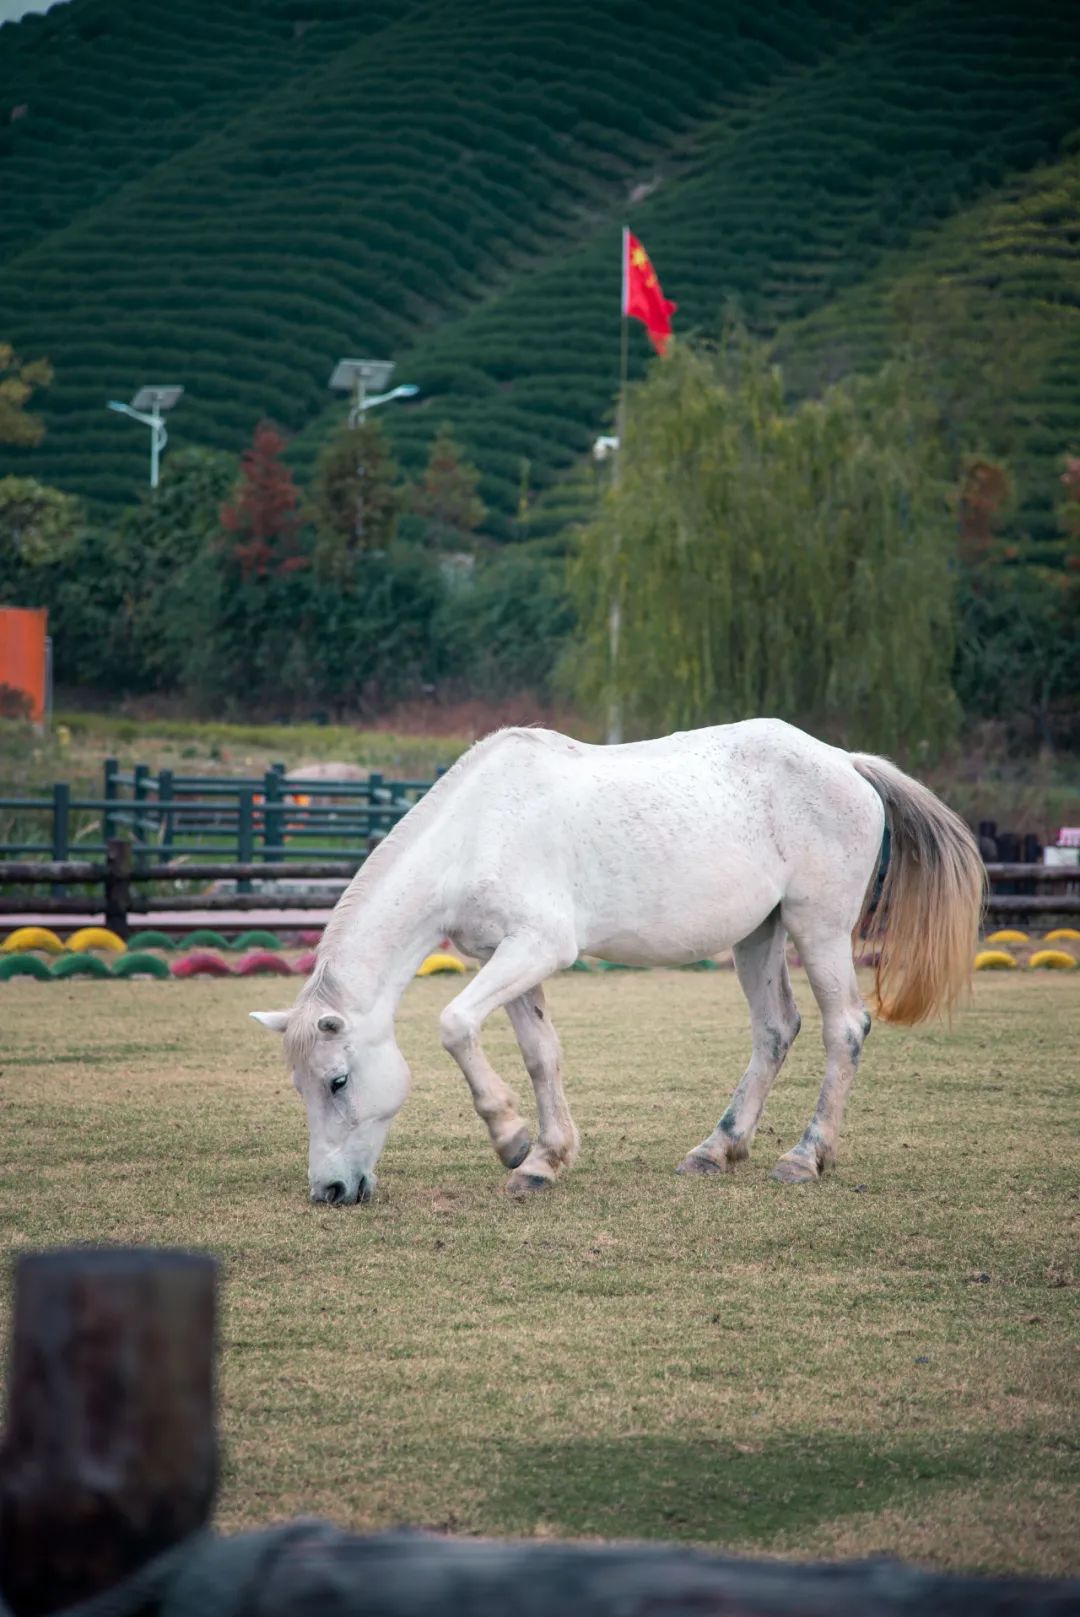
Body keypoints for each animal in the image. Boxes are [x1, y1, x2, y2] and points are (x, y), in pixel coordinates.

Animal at [253, 721, 989, 1203]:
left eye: (338, 1082)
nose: (329, 1189)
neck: (476, 831)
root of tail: (846, 762)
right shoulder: (507, 956)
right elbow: (540, 1054)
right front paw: (543, 1158)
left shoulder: (536, 947)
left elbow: (455, 1024)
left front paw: (511, 1137)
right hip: (759, 935)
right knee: (776, 1029)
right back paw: (716, 1148)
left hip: (820, 928)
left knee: (845, 1028)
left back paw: (804, 1157)